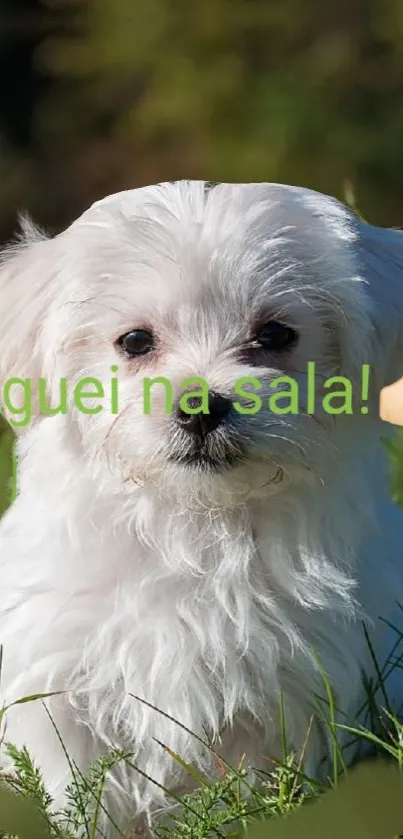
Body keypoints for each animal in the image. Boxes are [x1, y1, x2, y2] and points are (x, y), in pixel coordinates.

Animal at [0, 180, 403, 836]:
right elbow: (72, 786)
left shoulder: (294, 687)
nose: (199, 405)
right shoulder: (57, 677)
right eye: (135, 341)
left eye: (275, 335)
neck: (198, 523)